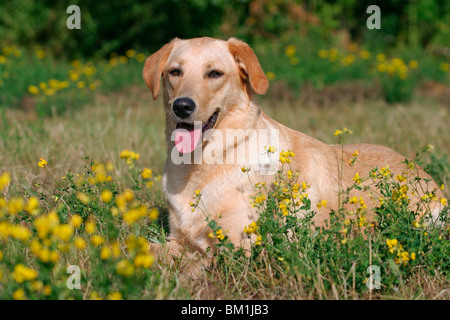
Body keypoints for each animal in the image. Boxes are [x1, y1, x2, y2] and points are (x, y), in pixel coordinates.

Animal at [142, 37, 444, 268]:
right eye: (174, 72)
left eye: (215, 73)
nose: (182, 106)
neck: (202, 164)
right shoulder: (178, 238)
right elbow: (147, 248)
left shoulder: (239, 250)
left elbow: (192, 264)